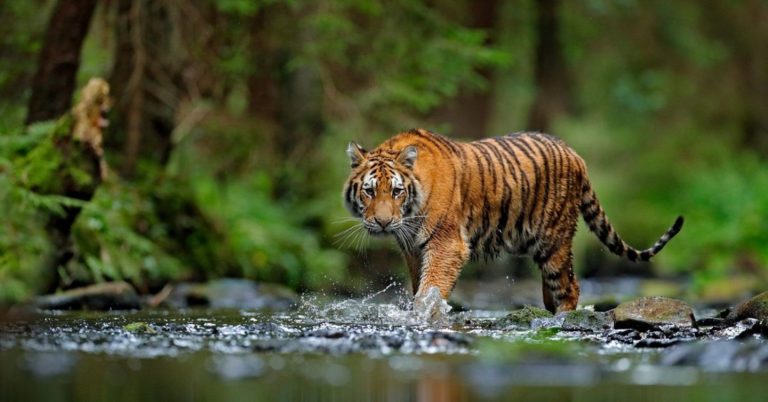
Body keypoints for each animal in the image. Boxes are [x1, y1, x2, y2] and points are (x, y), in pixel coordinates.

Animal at [342, 128, 683, 313]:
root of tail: (575, 154)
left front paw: (424, 315)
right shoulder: (413, 248)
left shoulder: (447, 244)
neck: (410, 215)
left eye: (396, 191)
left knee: (570, 287)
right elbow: (419, 287)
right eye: (370, 192)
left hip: (554, 241)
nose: (383, 223)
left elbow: (431, 289)